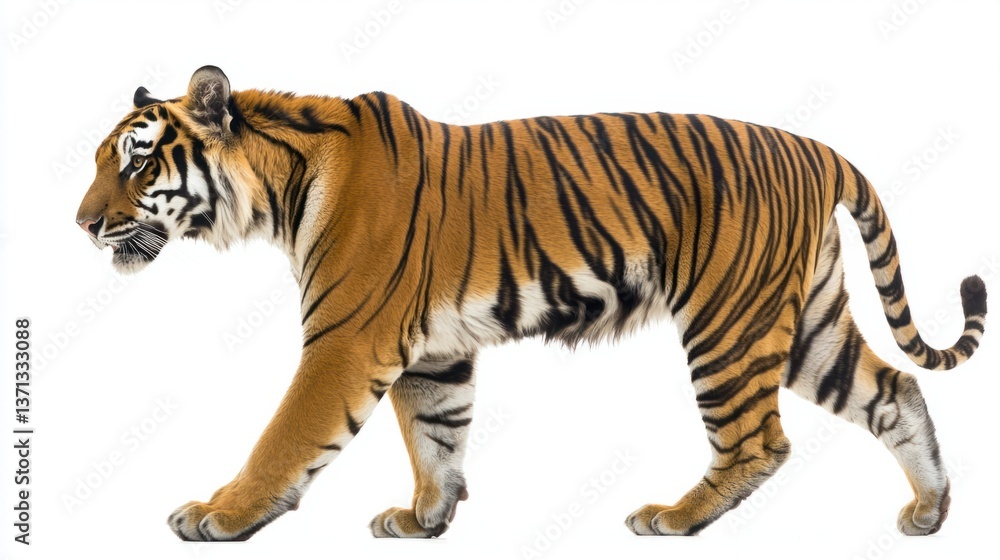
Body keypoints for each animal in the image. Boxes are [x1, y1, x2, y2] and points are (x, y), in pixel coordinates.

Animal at [75, 66, 987, 541]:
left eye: (135, 162)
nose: (81, 224)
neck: (277, 188)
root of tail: (817, 148)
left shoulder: (344, 341)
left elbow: (284, 437)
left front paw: (218, 514)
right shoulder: (432, 352)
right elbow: (436, 436)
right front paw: (426, 518)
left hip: (730, 324)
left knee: (760, 441)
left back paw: (674, 517)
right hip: (804, 324)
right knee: (896, 391)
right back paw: (930, 509)